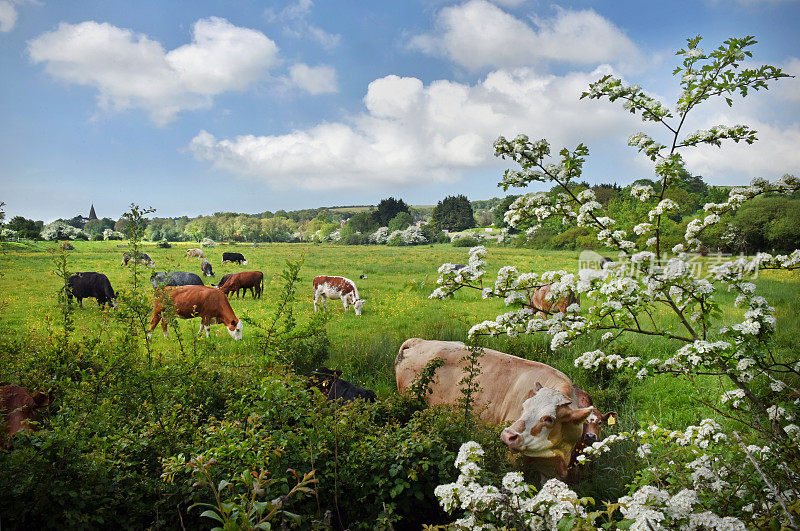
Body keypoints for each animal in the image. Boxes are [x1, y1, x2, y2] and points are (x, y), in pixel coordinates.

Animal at [396, 340, 592, 482]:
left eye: (549, 419)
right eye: (523, 407)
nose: (507, 435)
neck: (557, 457)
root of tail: (419, 341)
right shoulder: (511, 459)